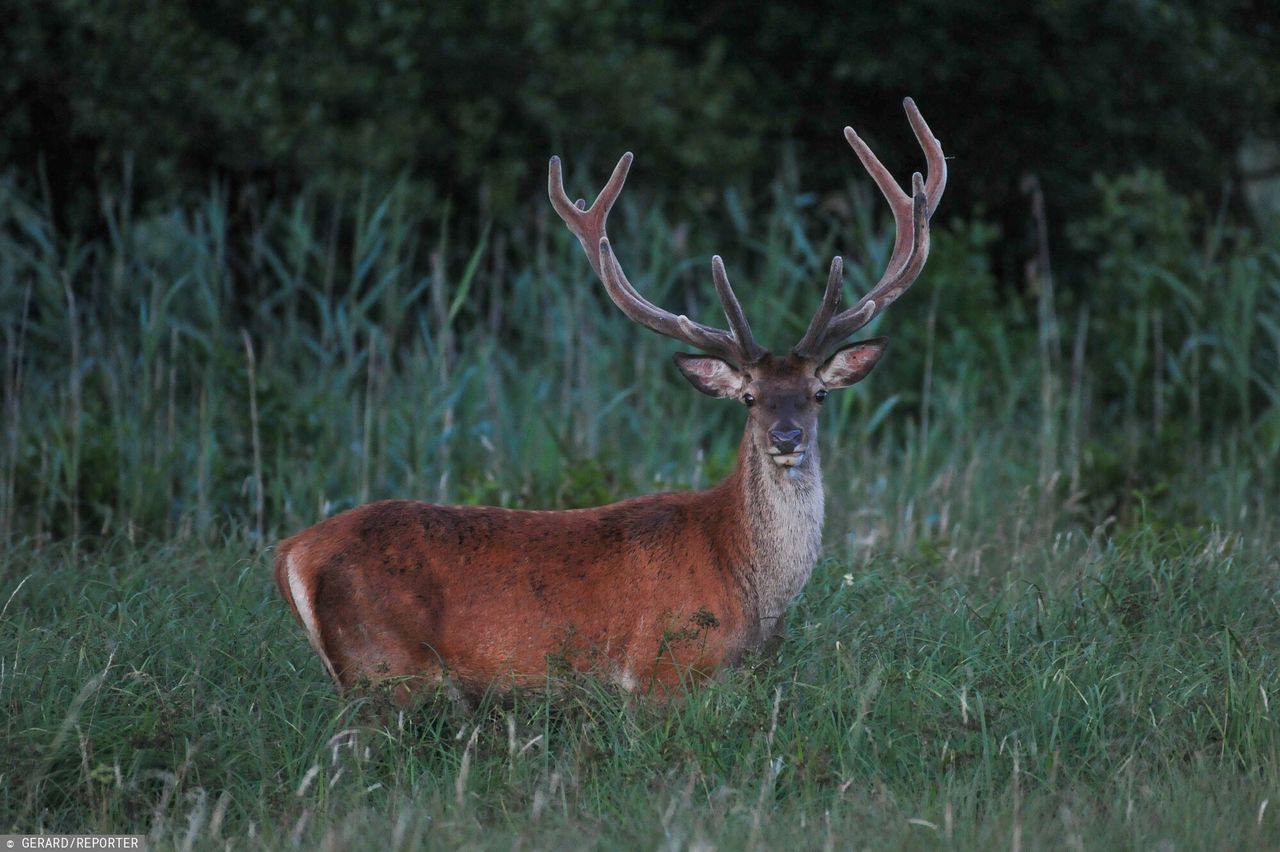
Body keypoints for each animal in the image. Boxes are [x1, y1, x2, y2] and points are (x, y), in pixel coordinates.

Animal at [275, 95, 947, 701]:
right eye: (750, 398)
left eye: (819, 393)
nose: (788, 437)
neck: (744, 584)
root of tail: (291, 553)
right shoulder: (660, 670)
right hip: (386, 670)